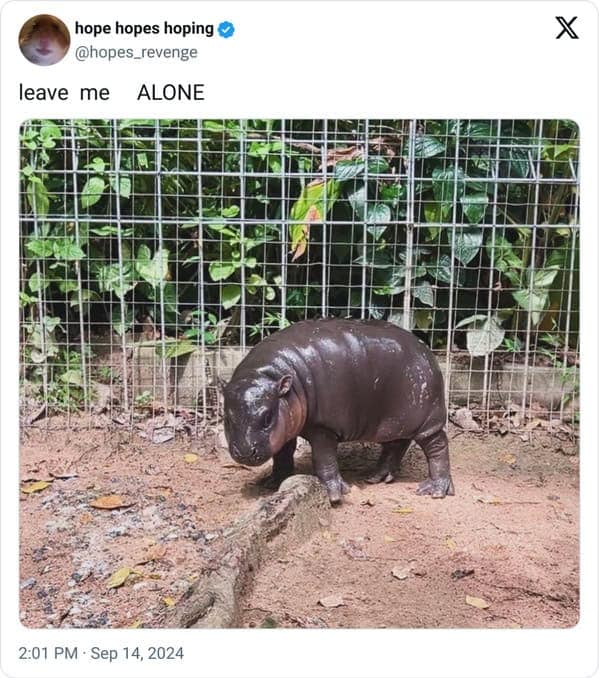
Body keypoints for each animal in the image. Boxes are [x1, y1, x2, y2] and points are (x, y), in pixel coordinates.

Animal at [222, 318, 454, 504]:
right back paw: (377, 477)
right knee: (396, 445)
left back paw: (434, 490)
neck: (269, 374)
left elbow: (323, 459)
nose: (245, 452)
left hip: (427, 420)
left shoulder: (323, 428)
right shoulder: (286, 425)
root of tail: (426, 350)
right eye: (227, 418)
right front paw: (273, 481)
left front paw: (333, 494)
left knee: (438, 445)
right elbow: (282, 454)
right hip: (395, 421)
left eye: (267, 417)